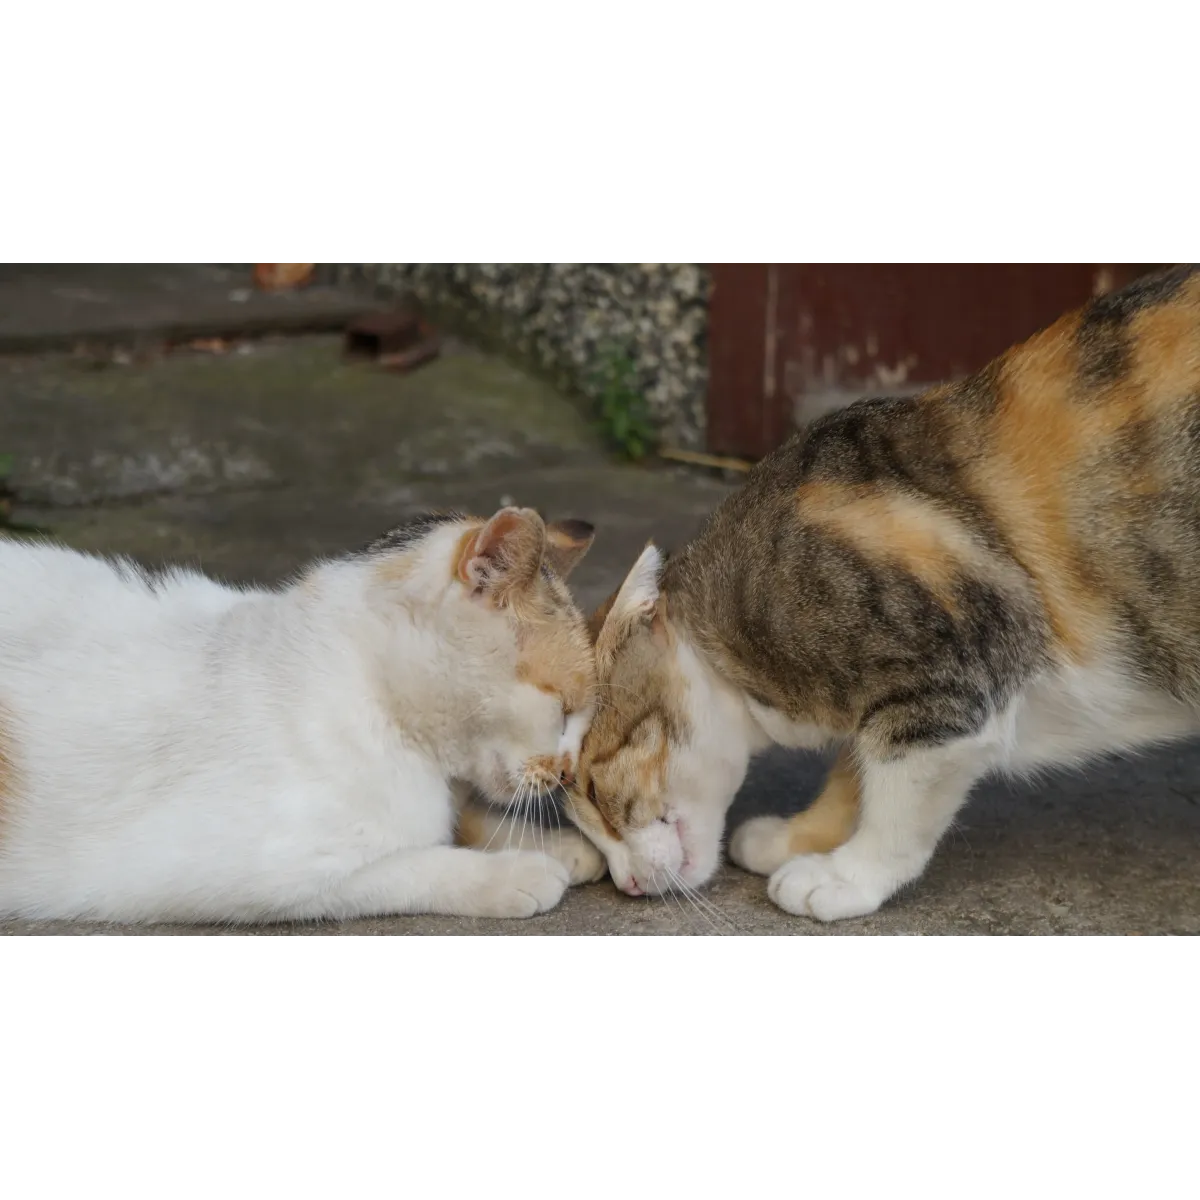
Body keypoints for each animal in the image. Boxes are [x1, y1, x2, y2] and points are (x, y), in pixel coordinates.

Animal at [0, 511, 604, 921]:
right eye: (563, 708)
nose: (568, 772)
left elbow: (470, 818)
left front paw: (555, 845)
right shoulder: (226, 868)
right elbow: (407, 864)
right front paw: (516, 871)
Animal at [566, 265, 1200, 916]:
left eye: (591, 786)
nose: (625, 882)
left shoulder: (954, 660)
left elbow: (899, 791)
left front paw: (848, 875)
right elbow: (857, 763)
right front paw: (801, 835)